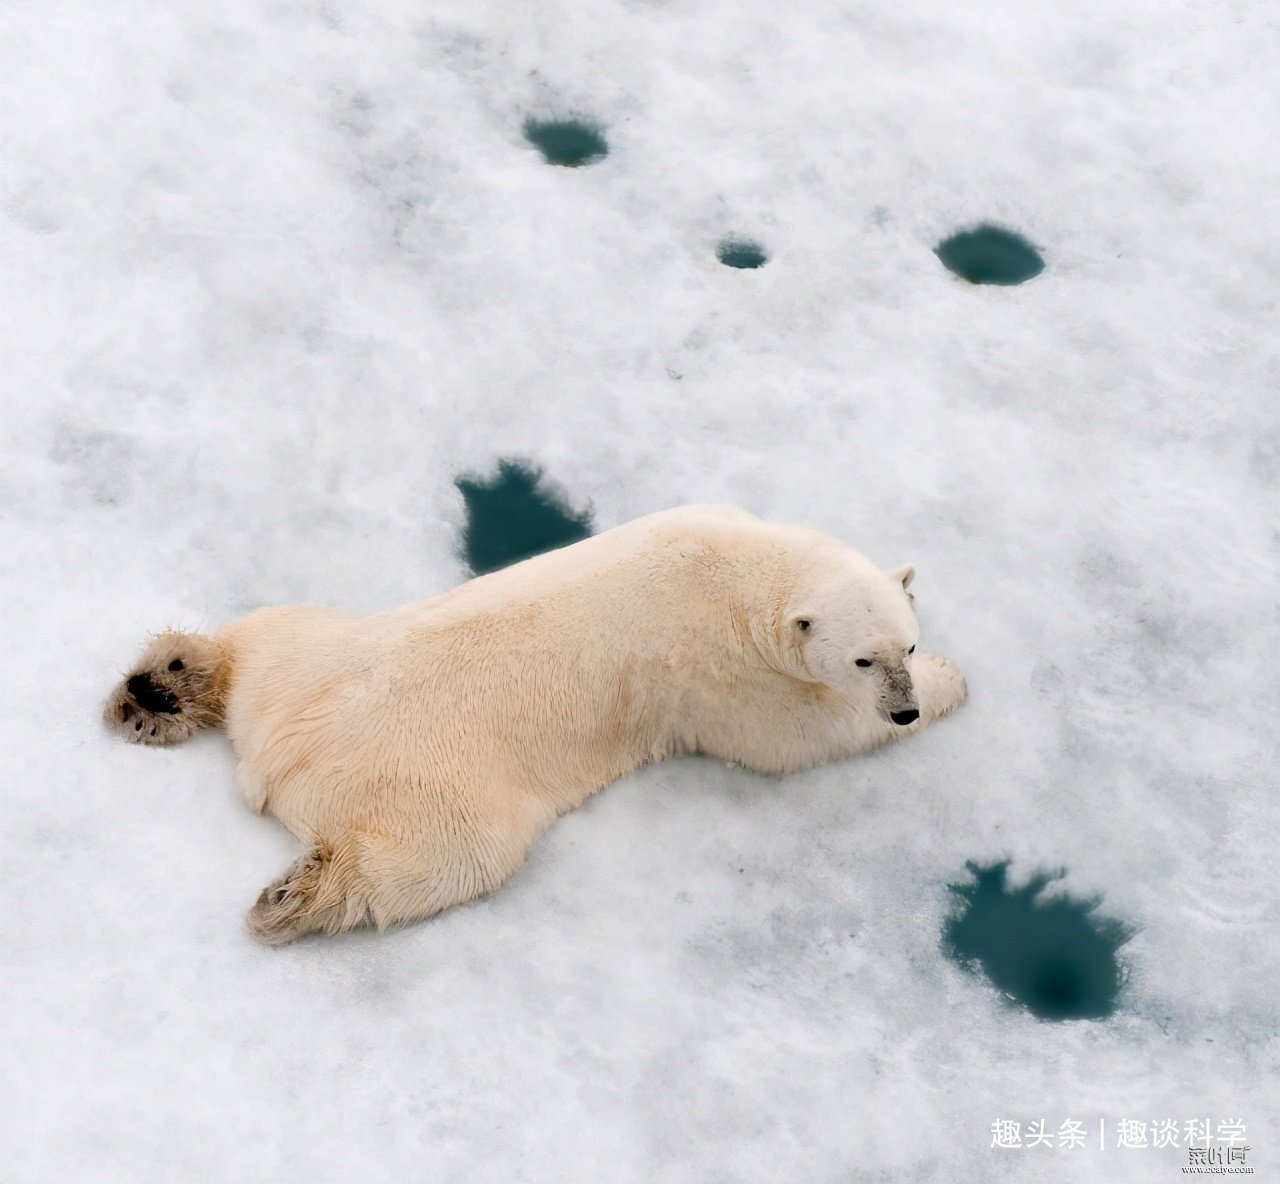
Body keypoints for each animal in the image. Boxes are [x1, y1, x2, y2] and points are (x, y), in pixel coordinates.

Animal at [102, 506, 962, 942]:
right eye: (865, 660)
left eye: (906, 643)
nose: (905, 703)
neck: (740, 566)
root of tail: (281, 751)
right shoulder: (722, 673)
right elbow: (792, 738)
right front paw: (952, 686)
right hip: (433, 780)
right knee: (439, 861)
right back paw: (289, 900)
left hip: (312, 653)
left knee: (260, 635)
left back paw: (160, 688)